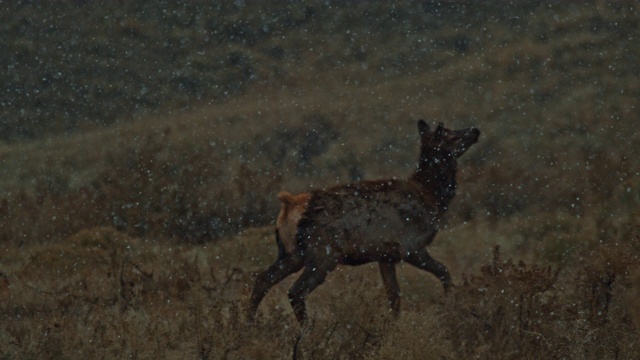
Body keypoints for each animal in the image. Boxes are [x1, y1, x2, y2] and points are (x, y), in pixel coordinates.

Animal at [248, 120, 478, 324]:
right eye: (451, 135)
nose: (475, 130)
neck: (433, 200)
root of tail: (289, 205)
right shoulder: (411, 247)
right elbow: (444, 272)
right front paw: (451, 305)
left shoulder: (387, 256)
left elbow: (394, 296)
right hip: (322, 254)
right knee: (296, 290)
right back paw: (306, 330)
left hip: (291, 253)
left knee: (262, 279)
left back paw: (250, 324)